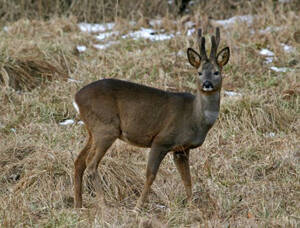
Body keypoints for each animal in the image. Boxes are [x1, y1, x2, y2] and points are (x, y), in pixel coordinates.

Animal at [74, 27, 231, 209]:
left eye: (216, 72)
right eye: (199, 73)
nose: (206, 84)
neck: (195, 117)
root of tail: (76, 98)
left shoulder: (182, 149)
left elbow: (187, 179)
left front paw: (192, 206)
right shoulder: (161, 139)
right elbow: (150, 175)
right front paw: (137, 207)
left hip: (93, 130)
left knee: (79, 161)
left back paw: (78, 205)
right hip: (105, 128)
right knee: (91, 164)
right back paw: (103, 205)